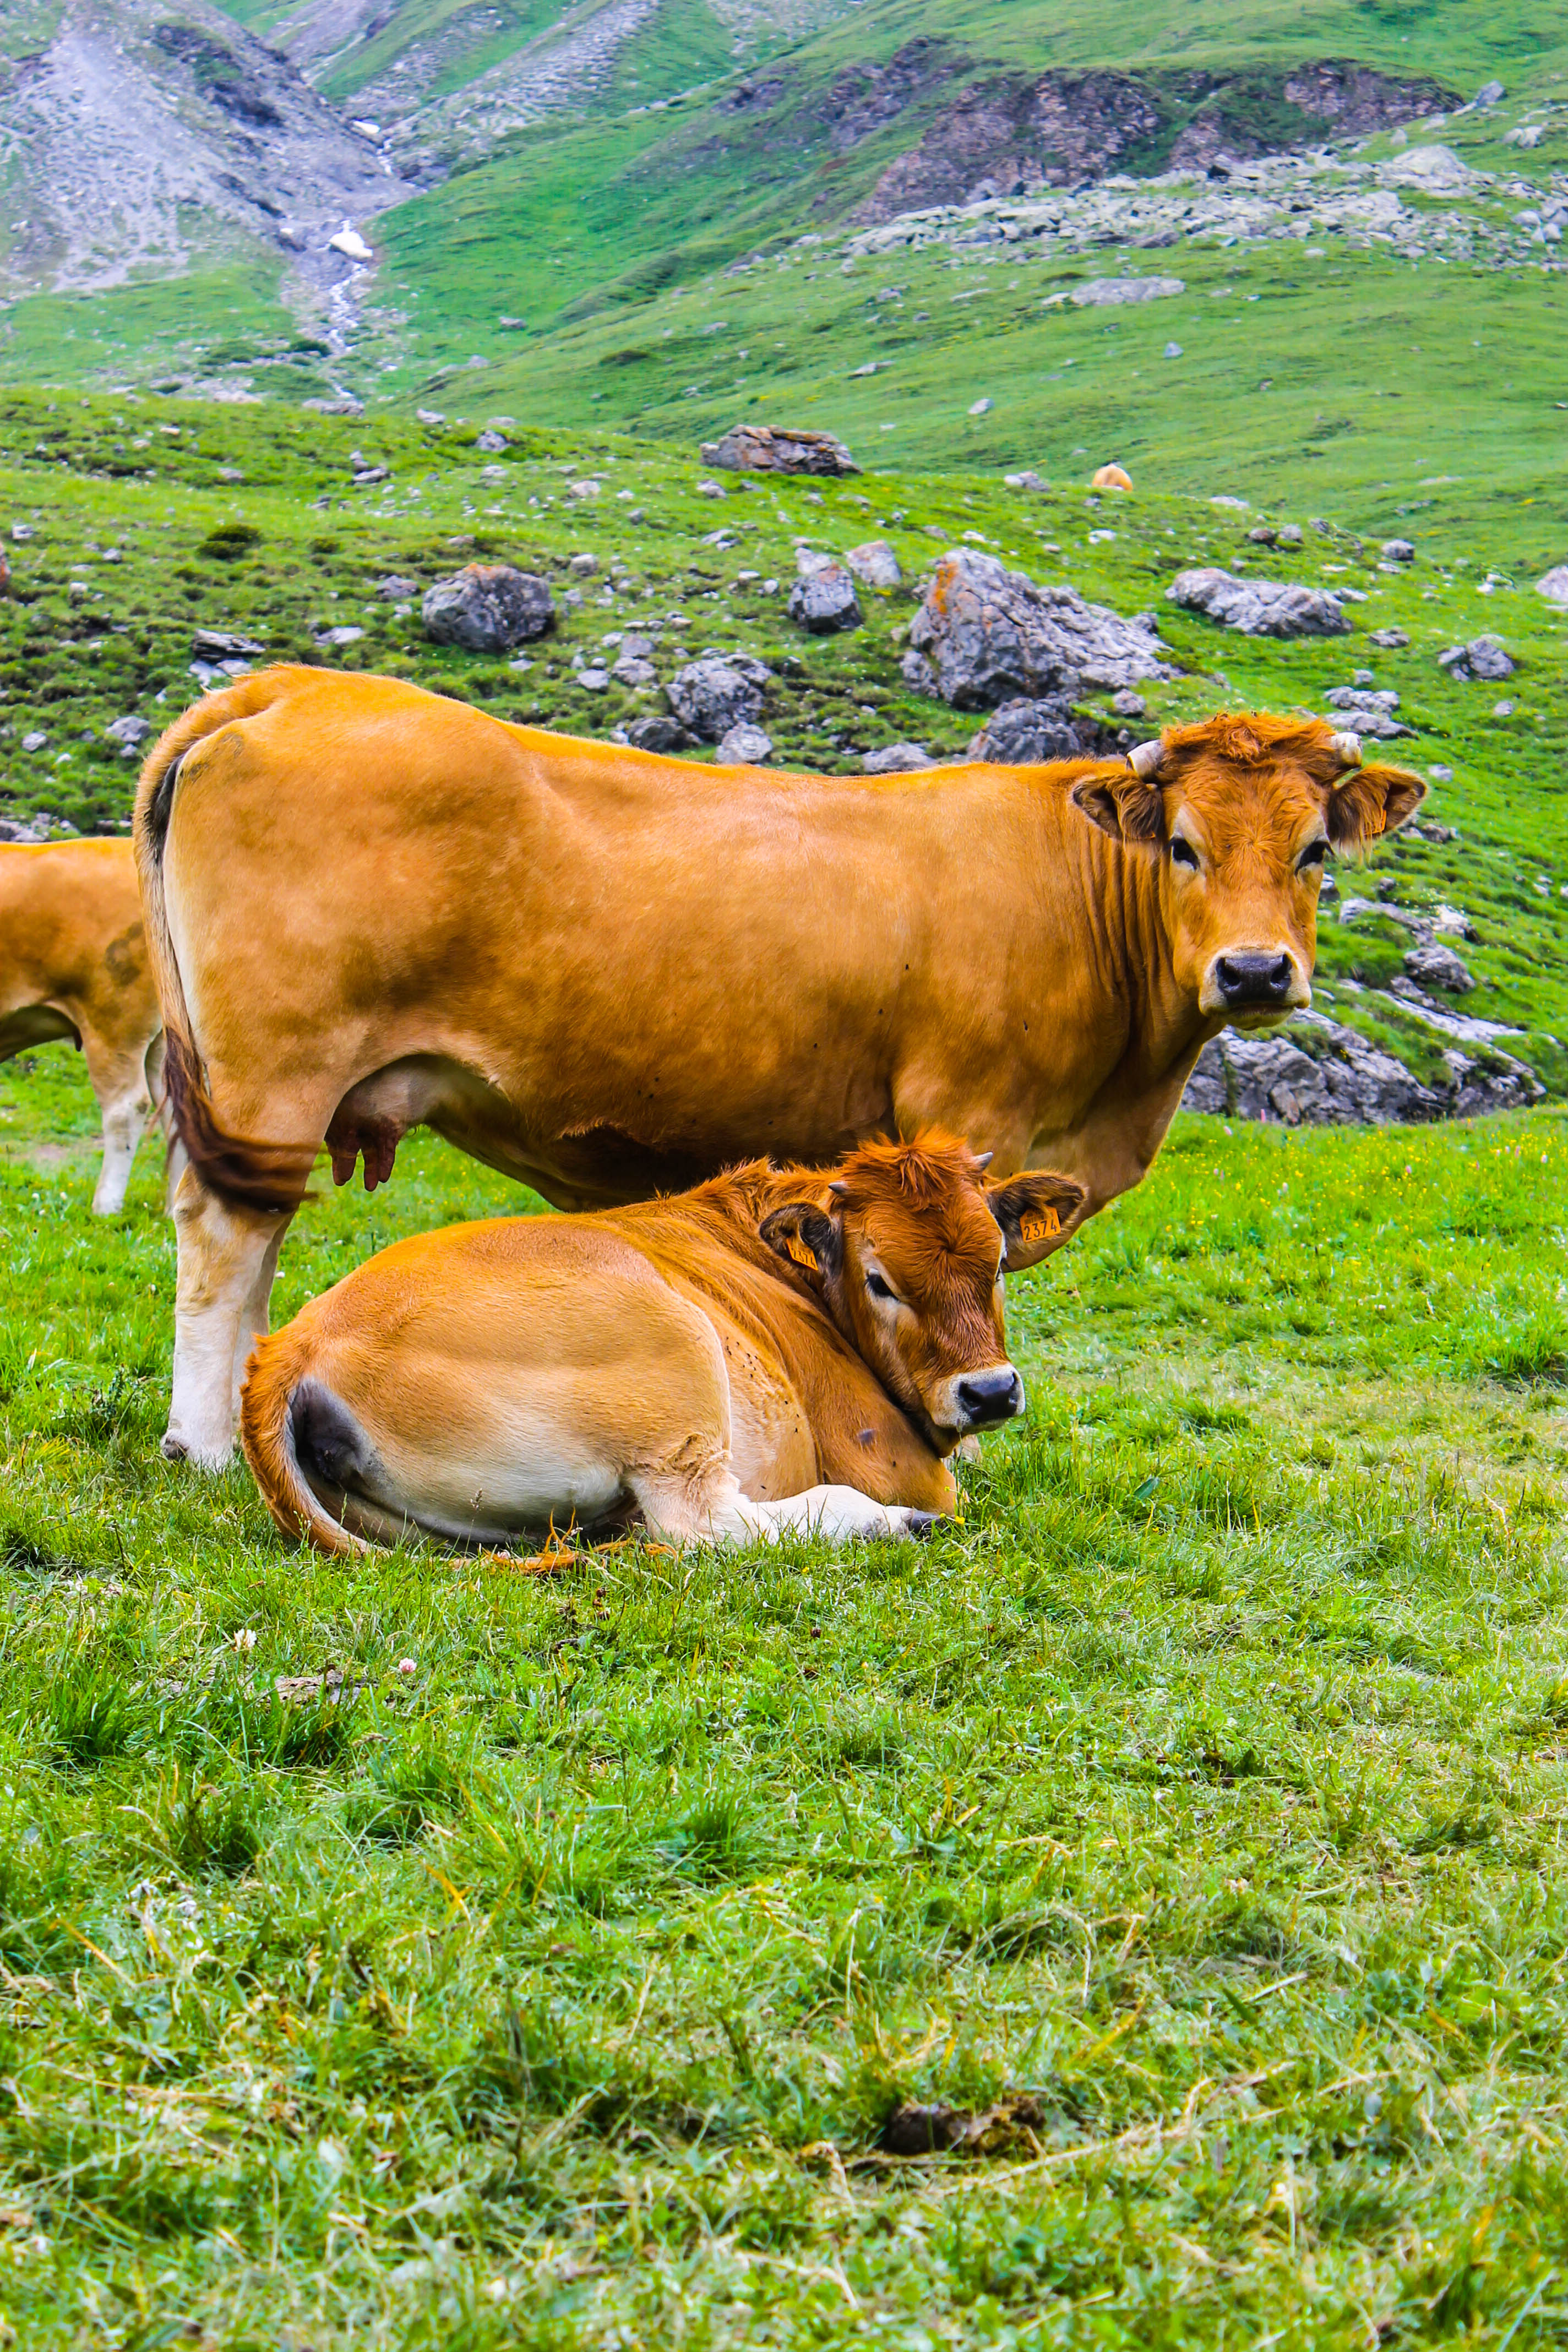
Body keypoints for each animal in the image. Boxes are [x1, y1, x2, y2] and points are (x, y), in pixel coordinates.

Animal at [133, 668, 1424, 1467]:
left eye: (1314, 849)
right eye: (1182, 846)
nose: (1252, 972)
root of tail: (293, 685)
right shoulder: (964, 1113)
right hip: (274, 1071)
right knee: (226, 1238)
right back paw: (205, 1443)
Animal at [240, 1134, 1086, 1556]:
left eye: (998, 1261)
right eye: (880, 1280)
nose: (989, 1391)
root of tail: (293, 1340)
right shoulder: (891, 1458)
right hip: (677, 1362)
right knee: (700, 1524)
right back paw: (896, 1526)